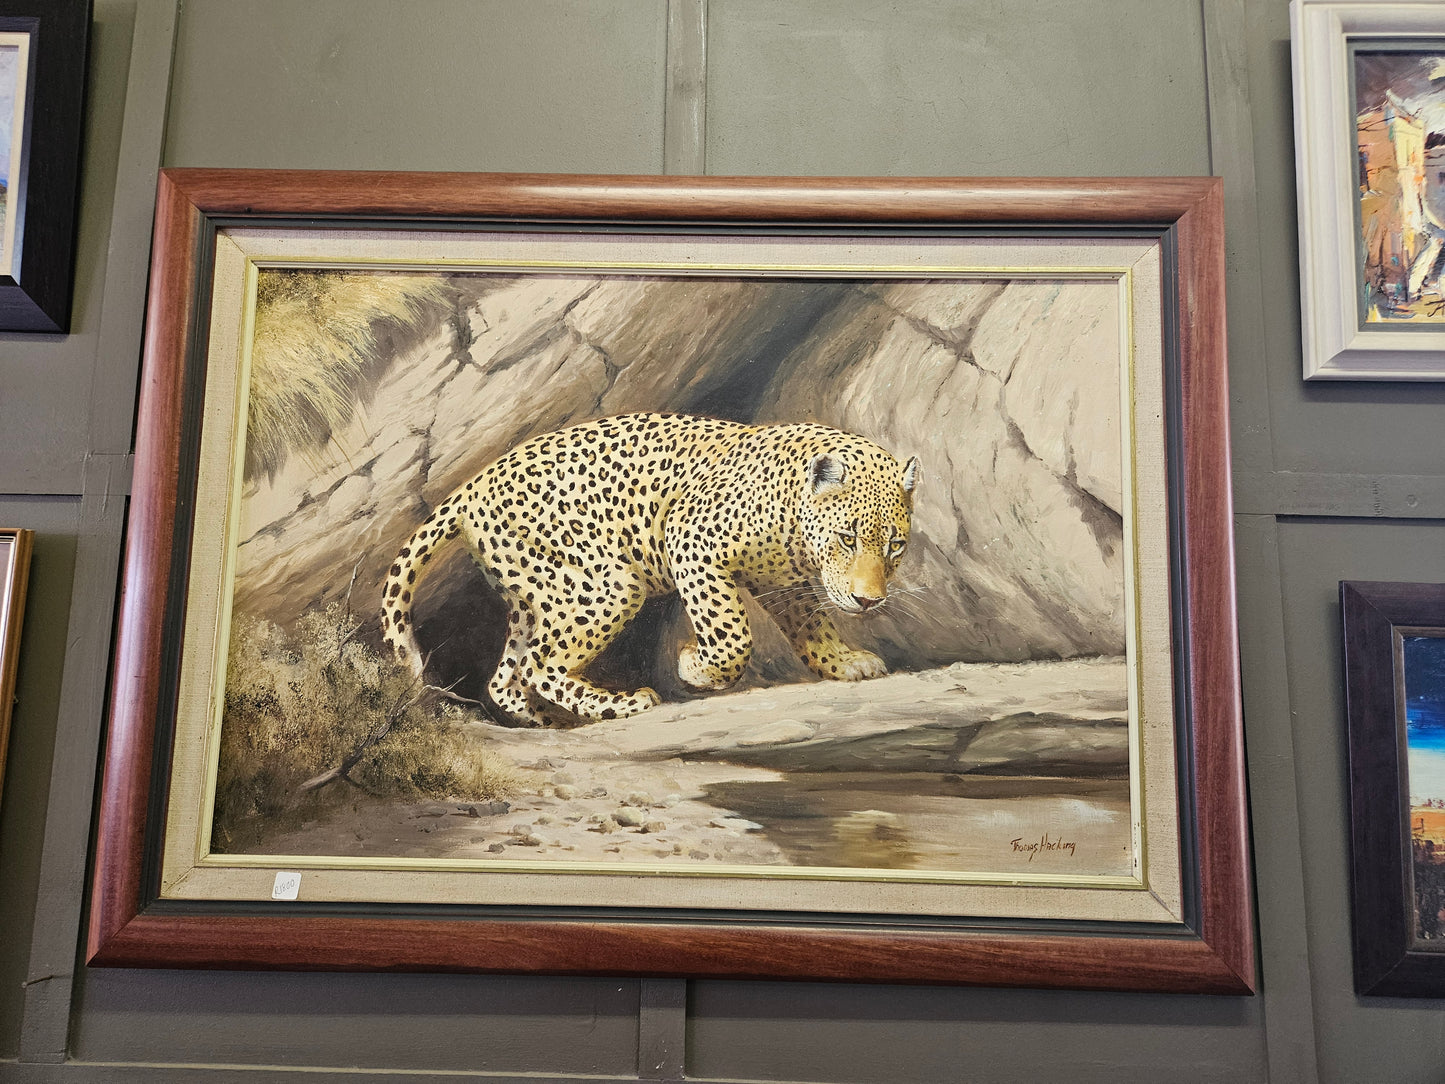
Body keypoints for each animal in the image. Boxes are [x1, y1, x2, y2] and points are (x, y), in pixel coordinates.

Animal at [380, 411, 920, 725]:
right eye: (848, 538)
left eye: (895, 546)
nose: (868, 600)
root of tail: (472, 485)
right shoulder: (692, 541)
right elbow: (732, 632)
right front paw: (695, 667)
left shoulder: (785, 585)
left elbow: (812, 624)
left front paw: (845, 662)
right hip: (606, 587)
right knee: (540, 664)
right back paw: (620, 704)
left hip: (537, 594)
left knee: (506, 677)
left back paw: (549, 719)